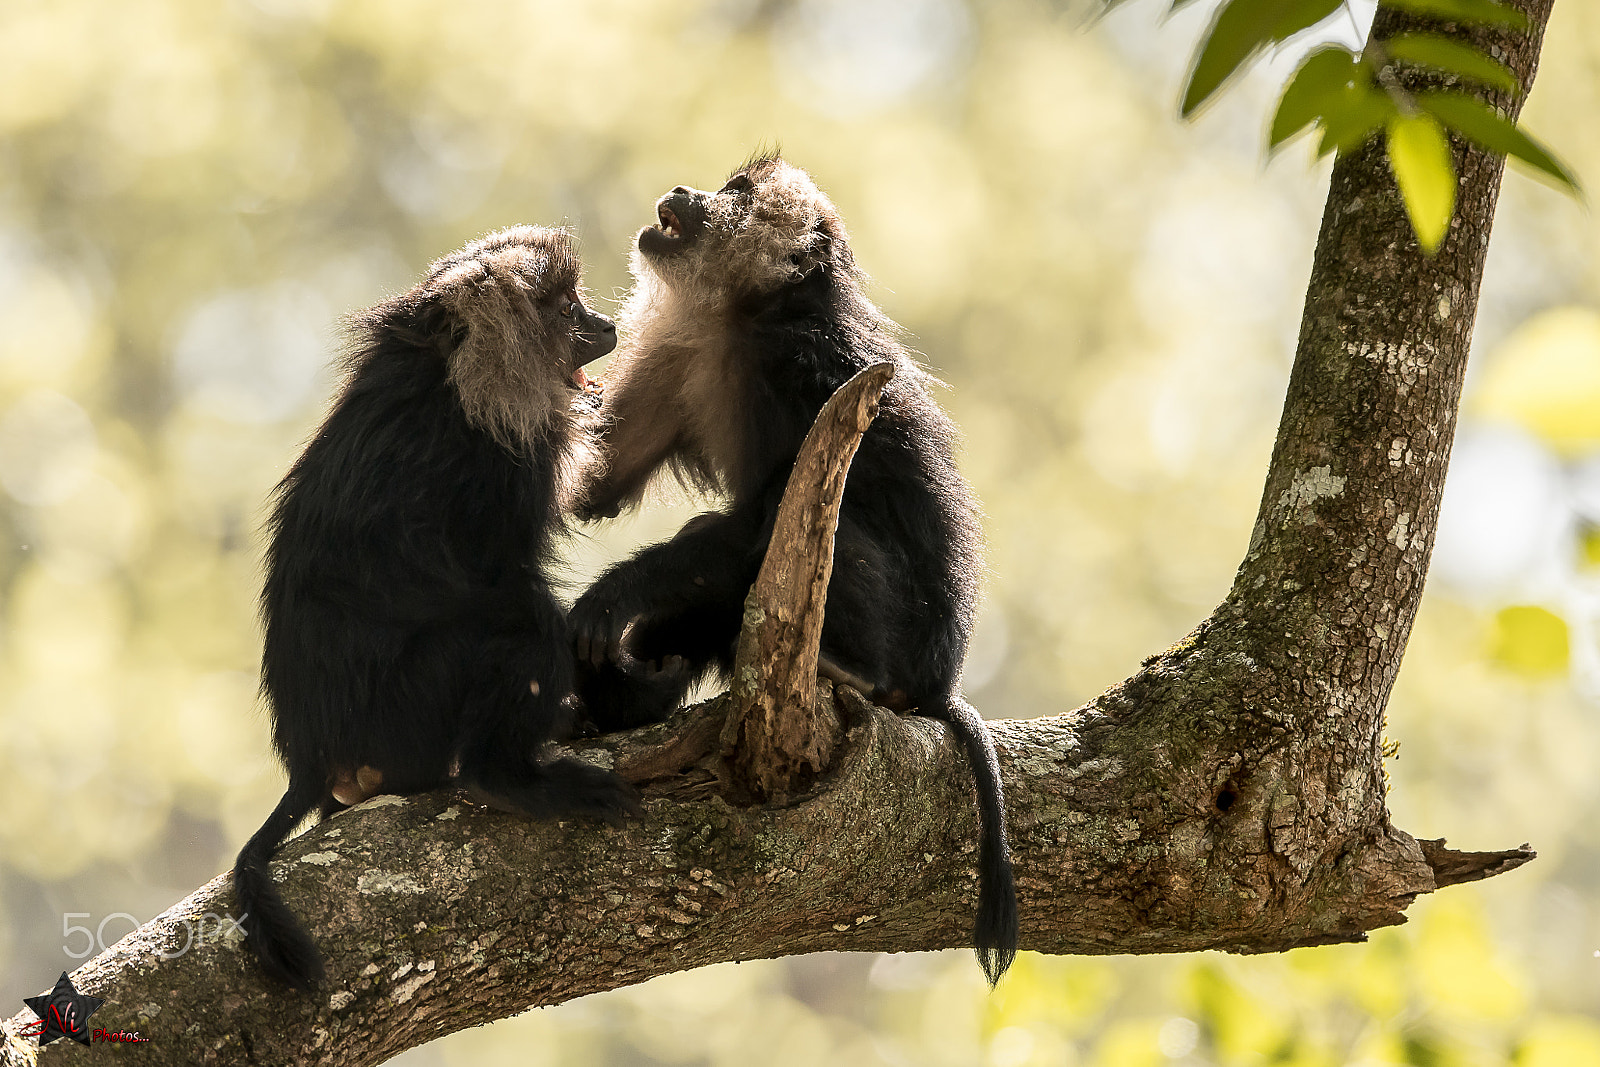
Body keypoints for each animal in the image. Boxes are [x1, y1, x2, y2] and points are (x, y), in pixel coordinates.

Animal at [233, 225, 637, 992]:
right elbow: (504, 586)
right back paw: (501, 779)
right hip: (407, 714)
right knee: (522, 627)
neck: (443, 378)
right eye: (565, 309)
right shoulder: (496, 456)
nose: (605, 327)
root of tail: (312, 755)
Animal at [569, 156, 1019, 985]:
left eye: (736, 193)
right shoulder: (682, 347)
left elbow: (759, 520)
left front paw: (611, 596)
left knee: (821, 534)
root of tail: (940, 680)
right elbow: (594, 487)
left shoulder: (806, 360)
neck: (747, 315)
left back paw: (848, 669)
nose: (684, 192)